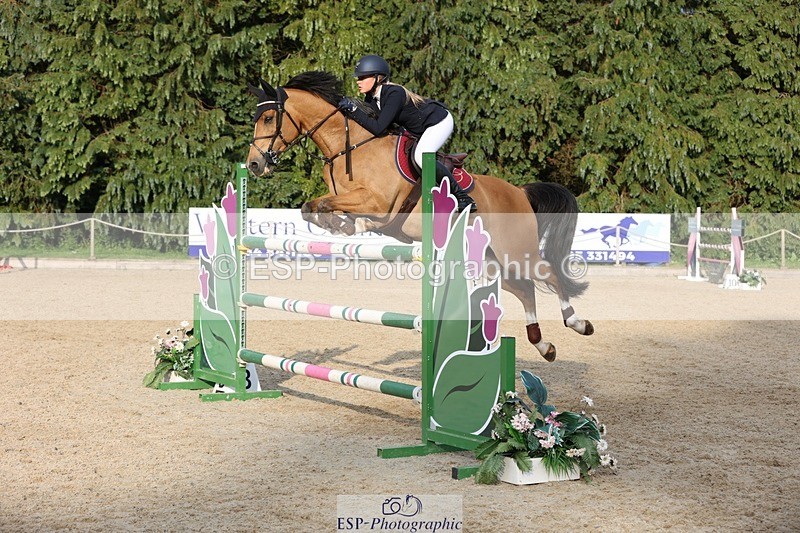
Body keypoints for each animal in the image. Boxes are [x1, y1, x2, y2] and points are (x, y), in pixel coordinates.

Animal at [246, 71, 594, 361]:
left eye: (268, 118)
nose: (253, 165)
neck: (349, 147)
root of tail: (519, 192)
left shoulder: (380, 203)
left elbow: (335, 208)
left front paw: (349, 224)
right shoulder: (349, 200)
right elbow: (314, 207)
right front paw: (341, 225)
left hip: (517, 251)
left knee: (549, 274)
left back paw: (578, 323)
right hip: (492, 260)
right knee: (524, 289)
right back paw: (543, 345)